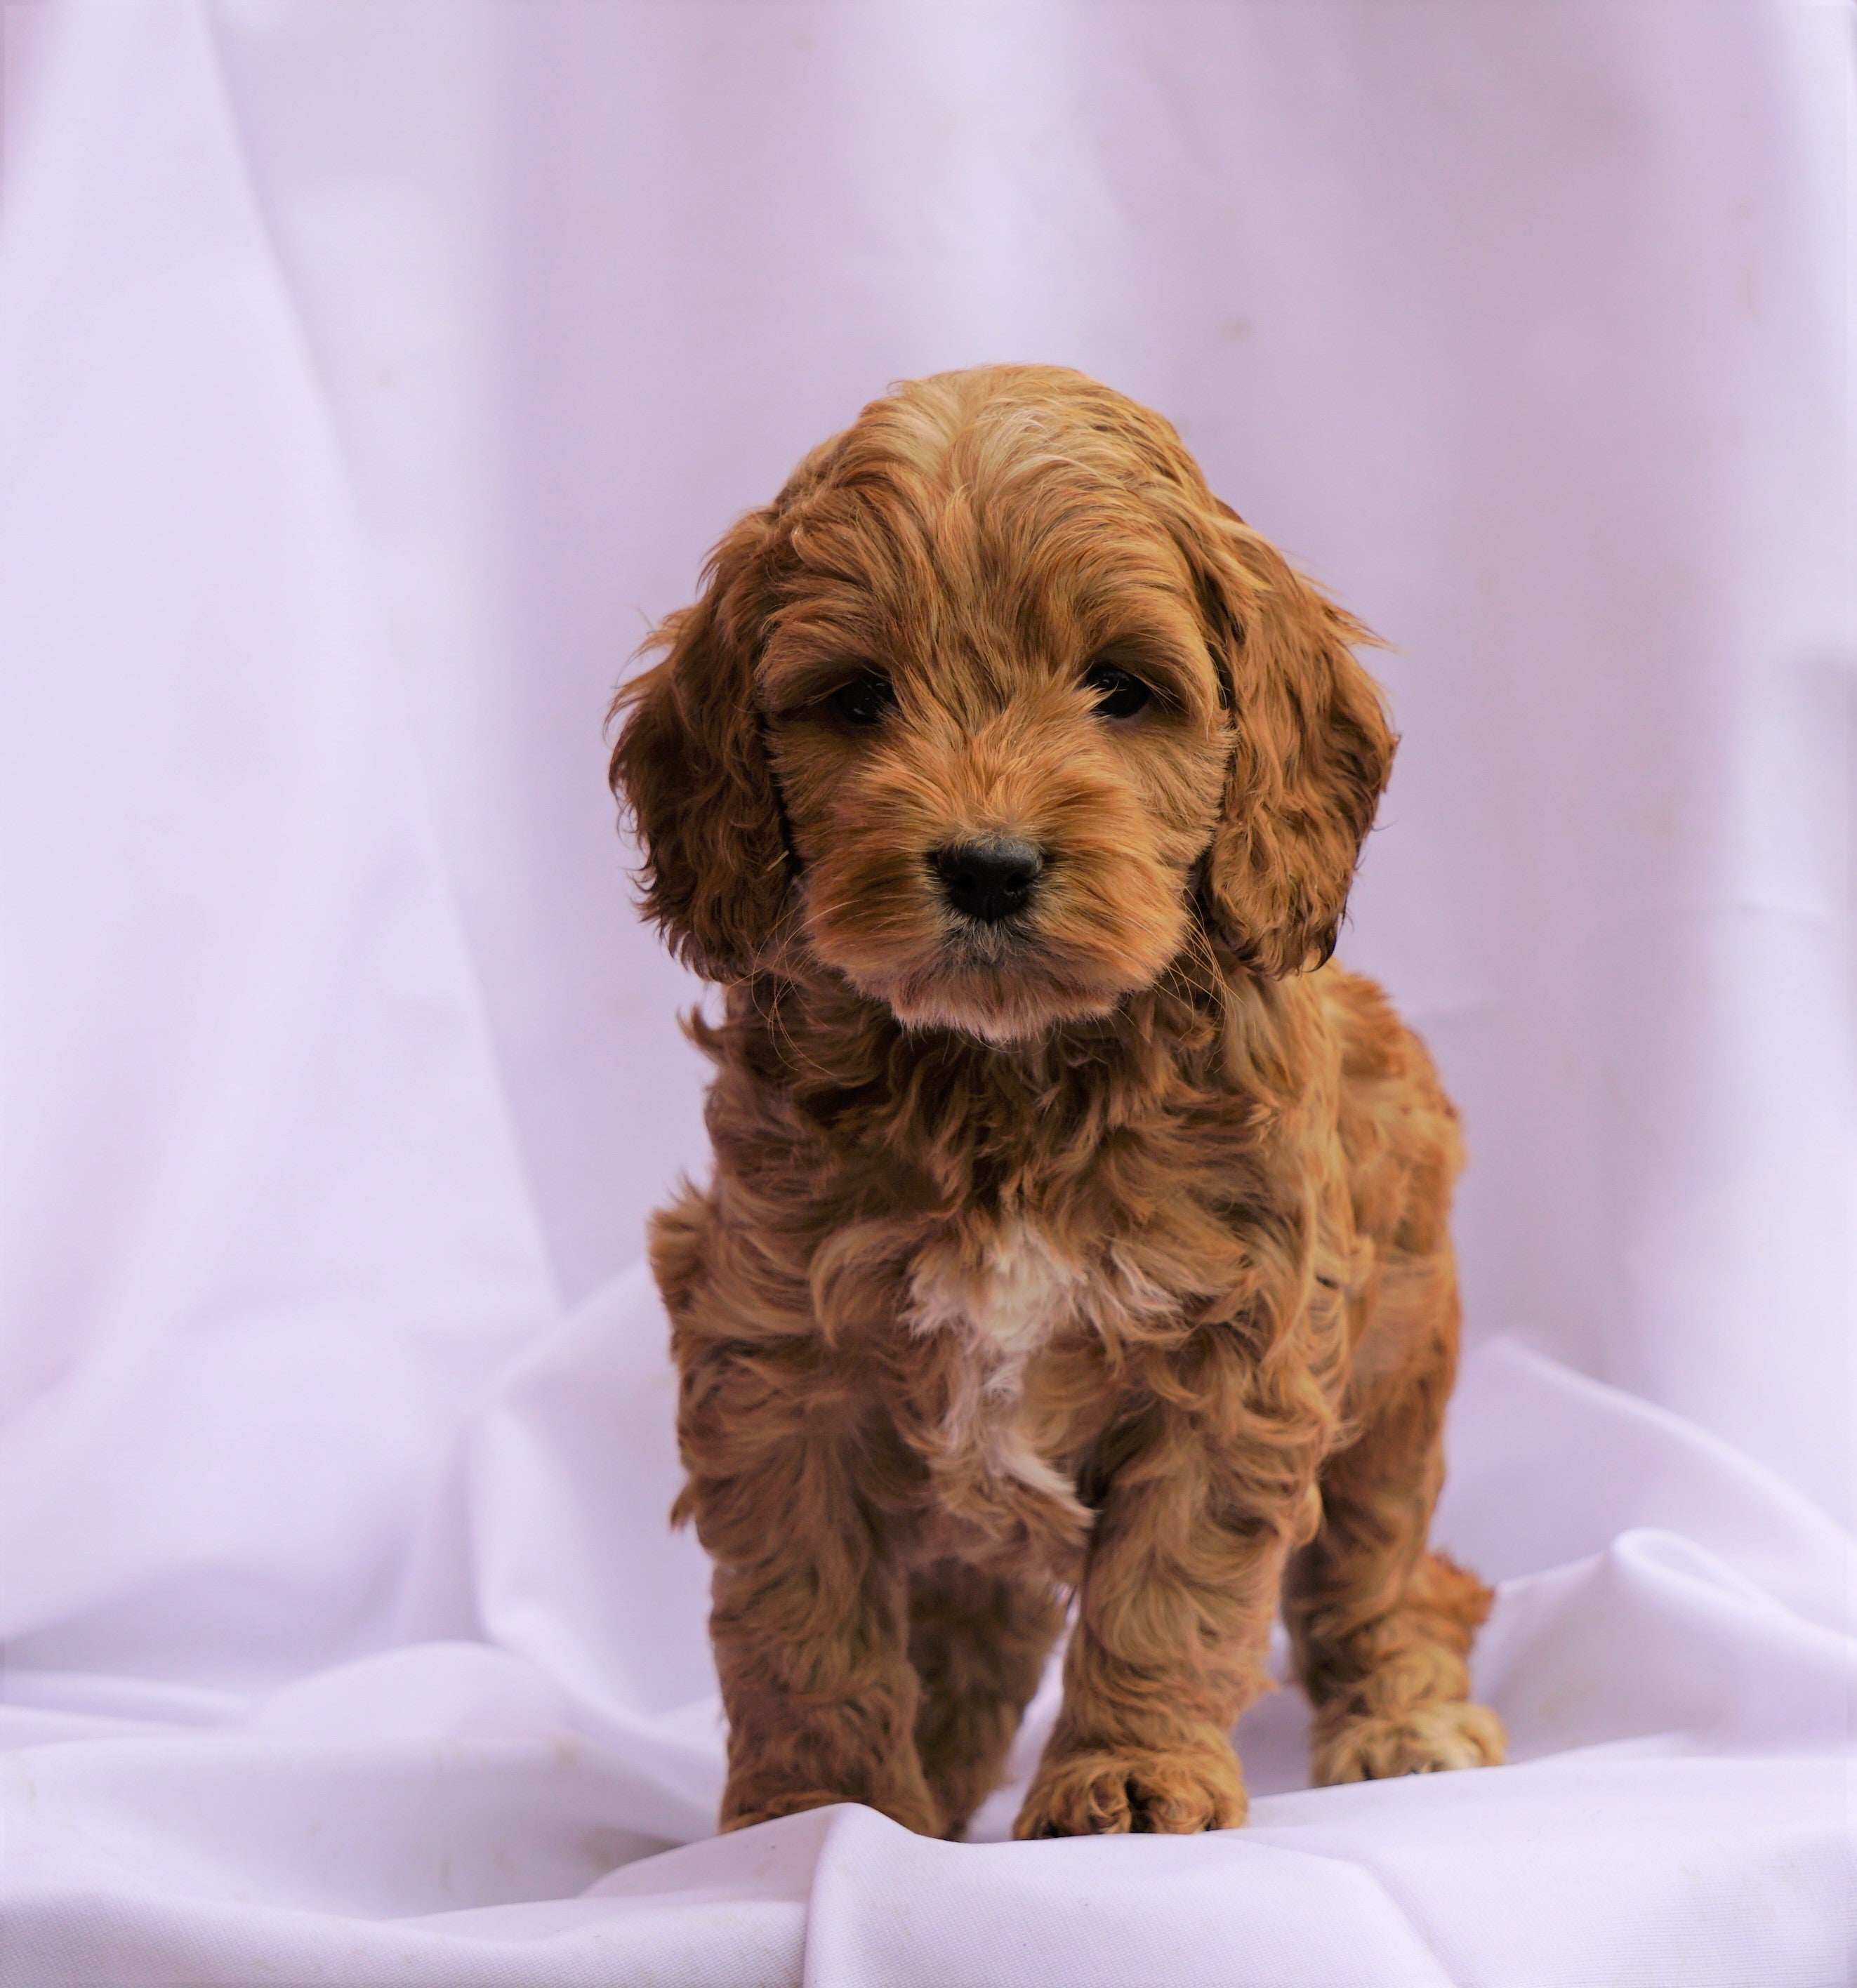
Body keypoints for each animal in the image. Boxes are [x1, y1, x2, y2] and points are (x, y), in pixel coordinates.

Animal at [612, 366, 1511, 1836]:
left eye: (1122, 690)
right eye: (859, 699)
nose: (987, 866)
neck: (1005, 1076)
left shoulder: (1239, 1352)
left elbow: (1168, 1590)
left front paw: (1131, 1777)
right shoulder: (775, 1347)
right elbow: (805, 1609)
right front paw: (818, 1809)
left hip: (1398, 1376)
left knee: (1391, 1565)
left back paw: (1406, 1715)